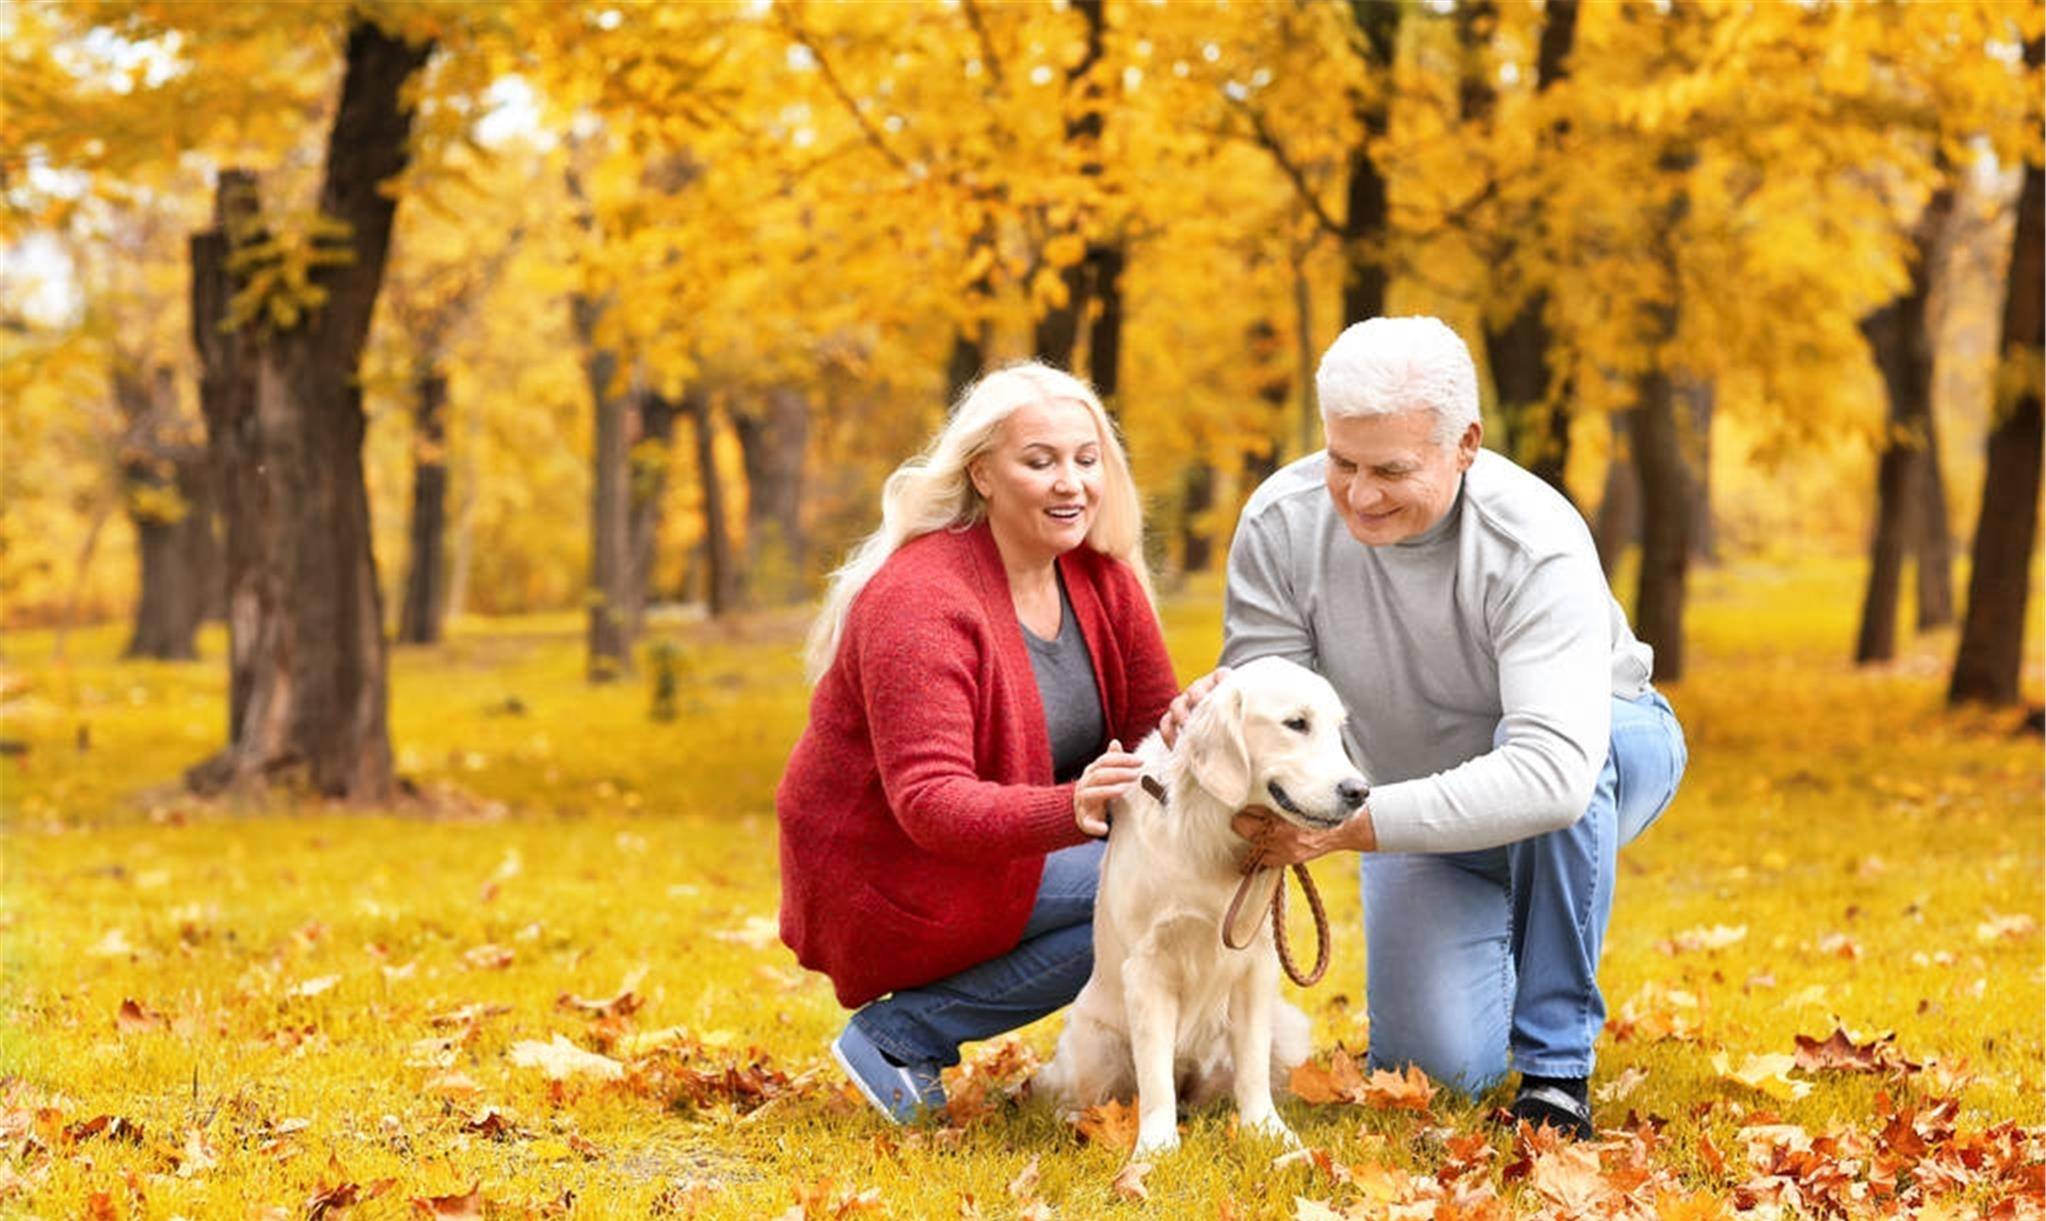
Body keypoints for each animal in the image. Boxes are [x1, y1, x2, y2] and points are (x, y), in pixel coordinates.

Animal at [1031, 658, 1366, 1153]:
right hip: (1094, 1041)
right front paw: (1155, 1147)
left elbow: (1251, 1065)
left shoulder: (1256, 963)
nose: (1360, 791)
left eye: (1338, 728)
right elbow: (1154, 1080)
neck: (1214, 829)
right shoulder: (1147, 968)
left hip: (1287, 1029)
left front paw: (1267, 1130)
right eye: (1296, 724)